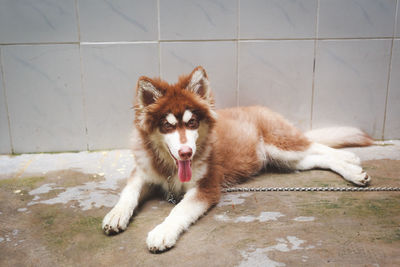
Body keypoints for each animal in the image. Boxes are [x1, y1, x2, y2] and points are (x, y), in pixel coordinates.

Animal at [101, 65, 374, 253]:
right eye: (167, 126)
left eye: (192, 122)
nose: (186, 153)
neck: (168, 167)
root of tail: (260, 108)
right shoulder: (143, 170)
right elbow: (129, 192)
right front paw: (116, 215)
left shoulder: (207, 187)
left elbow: (180, 209)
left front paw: (162, 231)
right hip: (284, 160)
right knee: (314, 158)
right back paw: (352, 169)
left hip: (281, 144)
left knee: (313, 145)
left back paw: (350, 159)